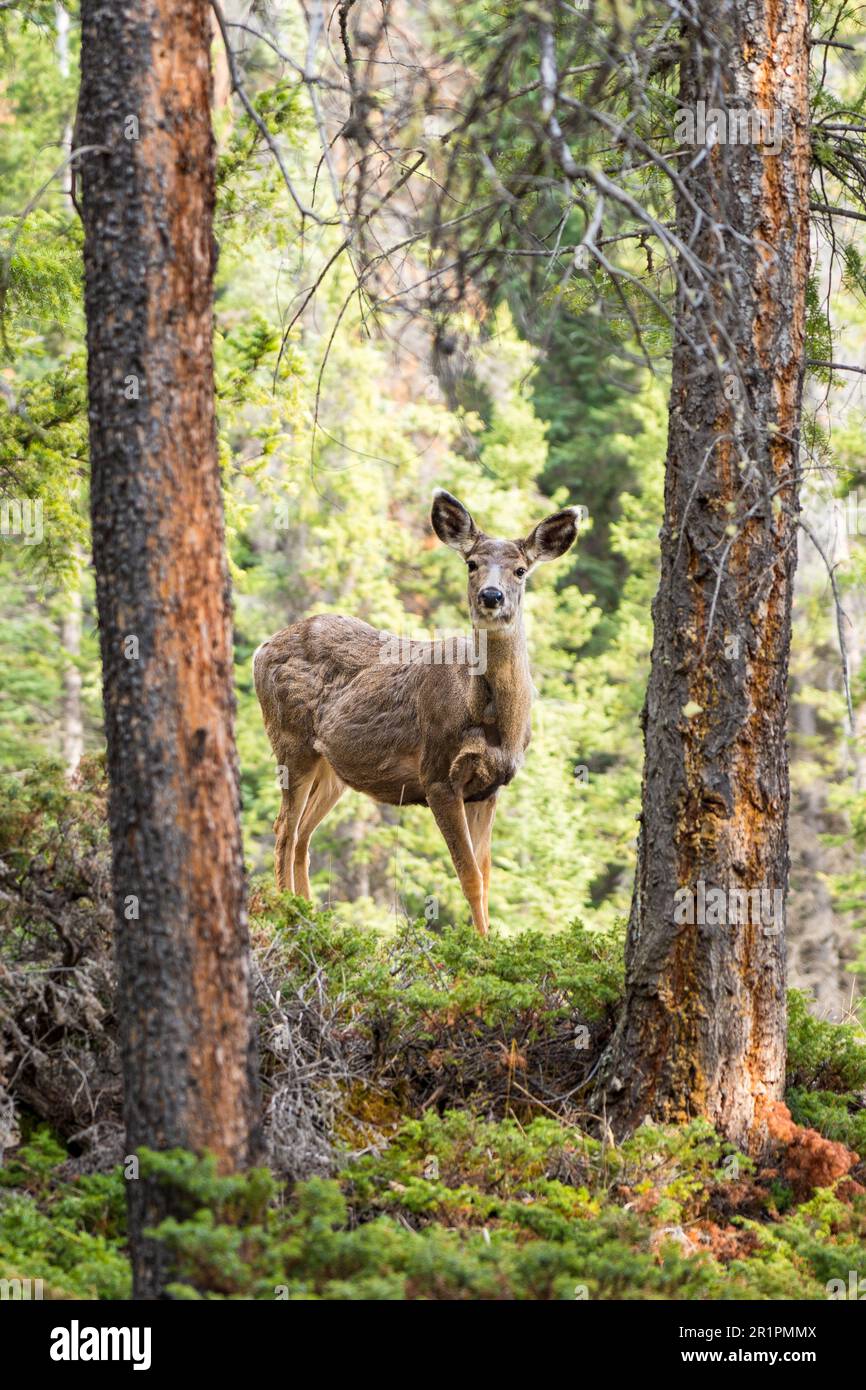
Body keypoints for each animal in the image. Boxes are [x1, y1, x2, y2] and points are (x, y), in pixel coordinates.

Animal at [253, 490, 580, 935]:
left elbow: (486, 877)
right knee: (284, 828)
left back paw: (311, 918)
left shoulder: (491, 786)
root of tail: (260, 648)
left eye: (521, 570)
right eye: (471, 563)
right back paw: (288, 916)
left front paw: (487, 940)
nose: (491, 596)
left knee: (303, 833)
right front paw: (478, 945)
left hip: (332, 767)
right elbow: (469, 876)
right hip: (290, 741)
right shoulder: (437, 774)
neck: (496, 722)